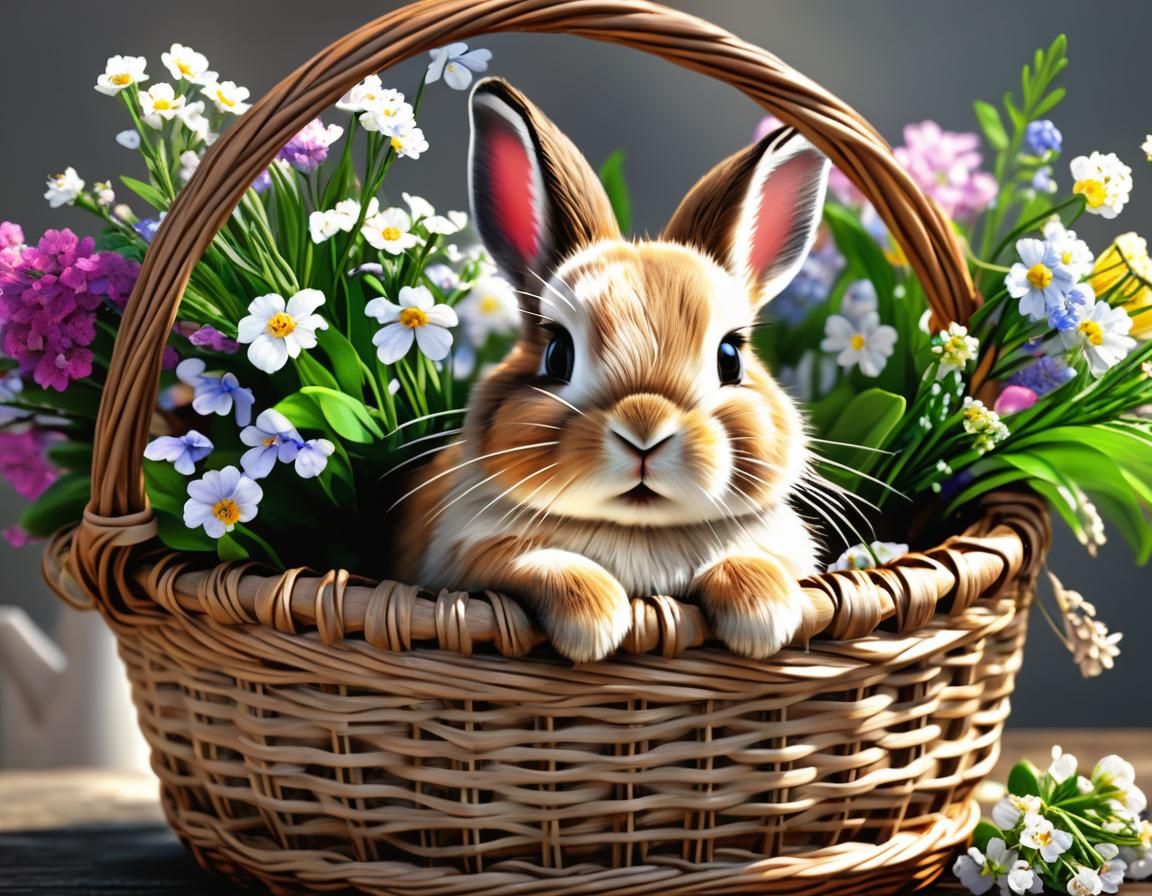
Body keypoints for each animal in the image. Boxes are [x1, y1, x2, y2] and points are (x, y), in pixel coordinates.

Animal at [391, 78, 829, 664]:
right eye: (558, 354)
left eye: (730, 357)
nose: (645, 431)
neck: (638, 531)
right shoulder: (470, 556)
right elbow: (540, 563)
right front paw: (597, 622)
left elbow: (752, 562)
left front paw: (764, 614)